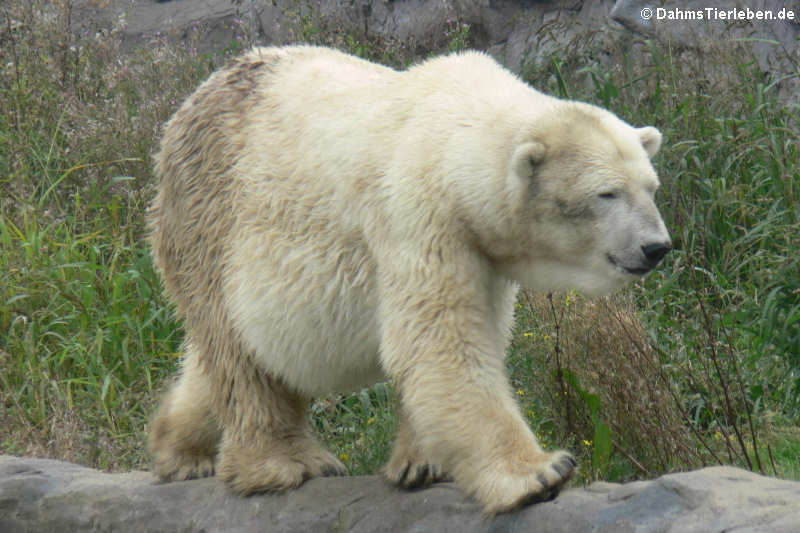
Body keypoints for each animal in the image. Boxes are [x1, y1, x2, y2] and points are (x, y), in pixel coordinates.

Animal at [147, 46, 672, 516]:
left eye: (651, 187)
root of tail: (190, 105)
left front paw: (420, 465)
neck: (452, 135)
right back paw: (281, 465)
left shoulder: (483, 253)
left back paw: (179, 449)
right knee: (238, 350)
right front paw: (539, 473)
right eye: (606, 193)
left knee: (219, 356)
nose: (656, 247)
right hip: (210, 220)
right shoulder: (419, 216)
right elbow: (442, 342)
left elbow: (461, 338)